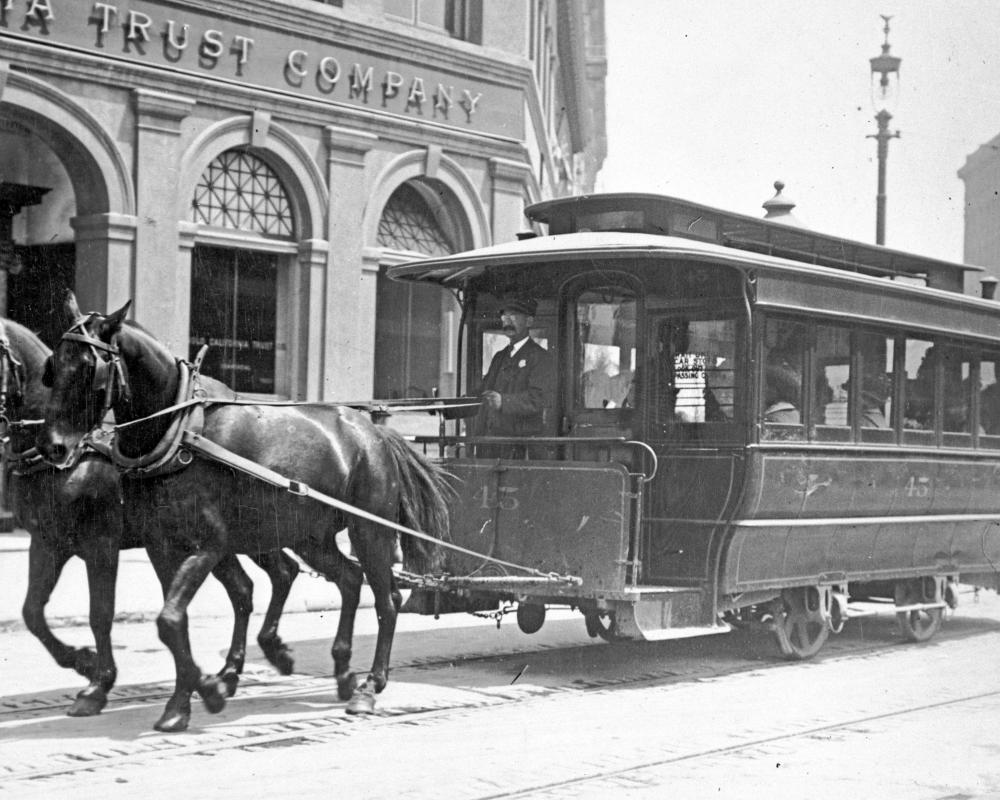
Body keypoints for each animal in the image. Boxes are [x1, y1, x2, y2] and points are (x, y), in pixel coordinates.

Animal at [5, 316, 300, 720]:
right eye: (52, 371)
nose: (55, 447)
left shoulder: (101, 542)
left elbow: (100, 613)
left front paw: (97, 684)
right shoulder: (47, 541)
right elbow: (32, 612)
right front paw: (83, 662)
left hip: (254, 531)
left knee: (282, 573)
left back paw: (266, 655)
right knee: (246, 587)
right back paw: (231, 671)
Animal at [36, 294, 450, 732]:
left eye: (90, 368)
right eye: (52, 367)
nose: (52, 447)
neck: (179, 429)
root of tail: (376, 432)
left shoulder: (208, 544)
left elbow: (168, 620)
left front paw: (205, 690)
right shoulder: (161, 546)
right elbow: (174, 622)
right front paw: (187, 700)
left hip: (369, 530)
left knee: (387, 599)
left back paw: (370, 686)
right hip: (309, 535)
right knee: (350, 580)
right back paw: (341, 673)